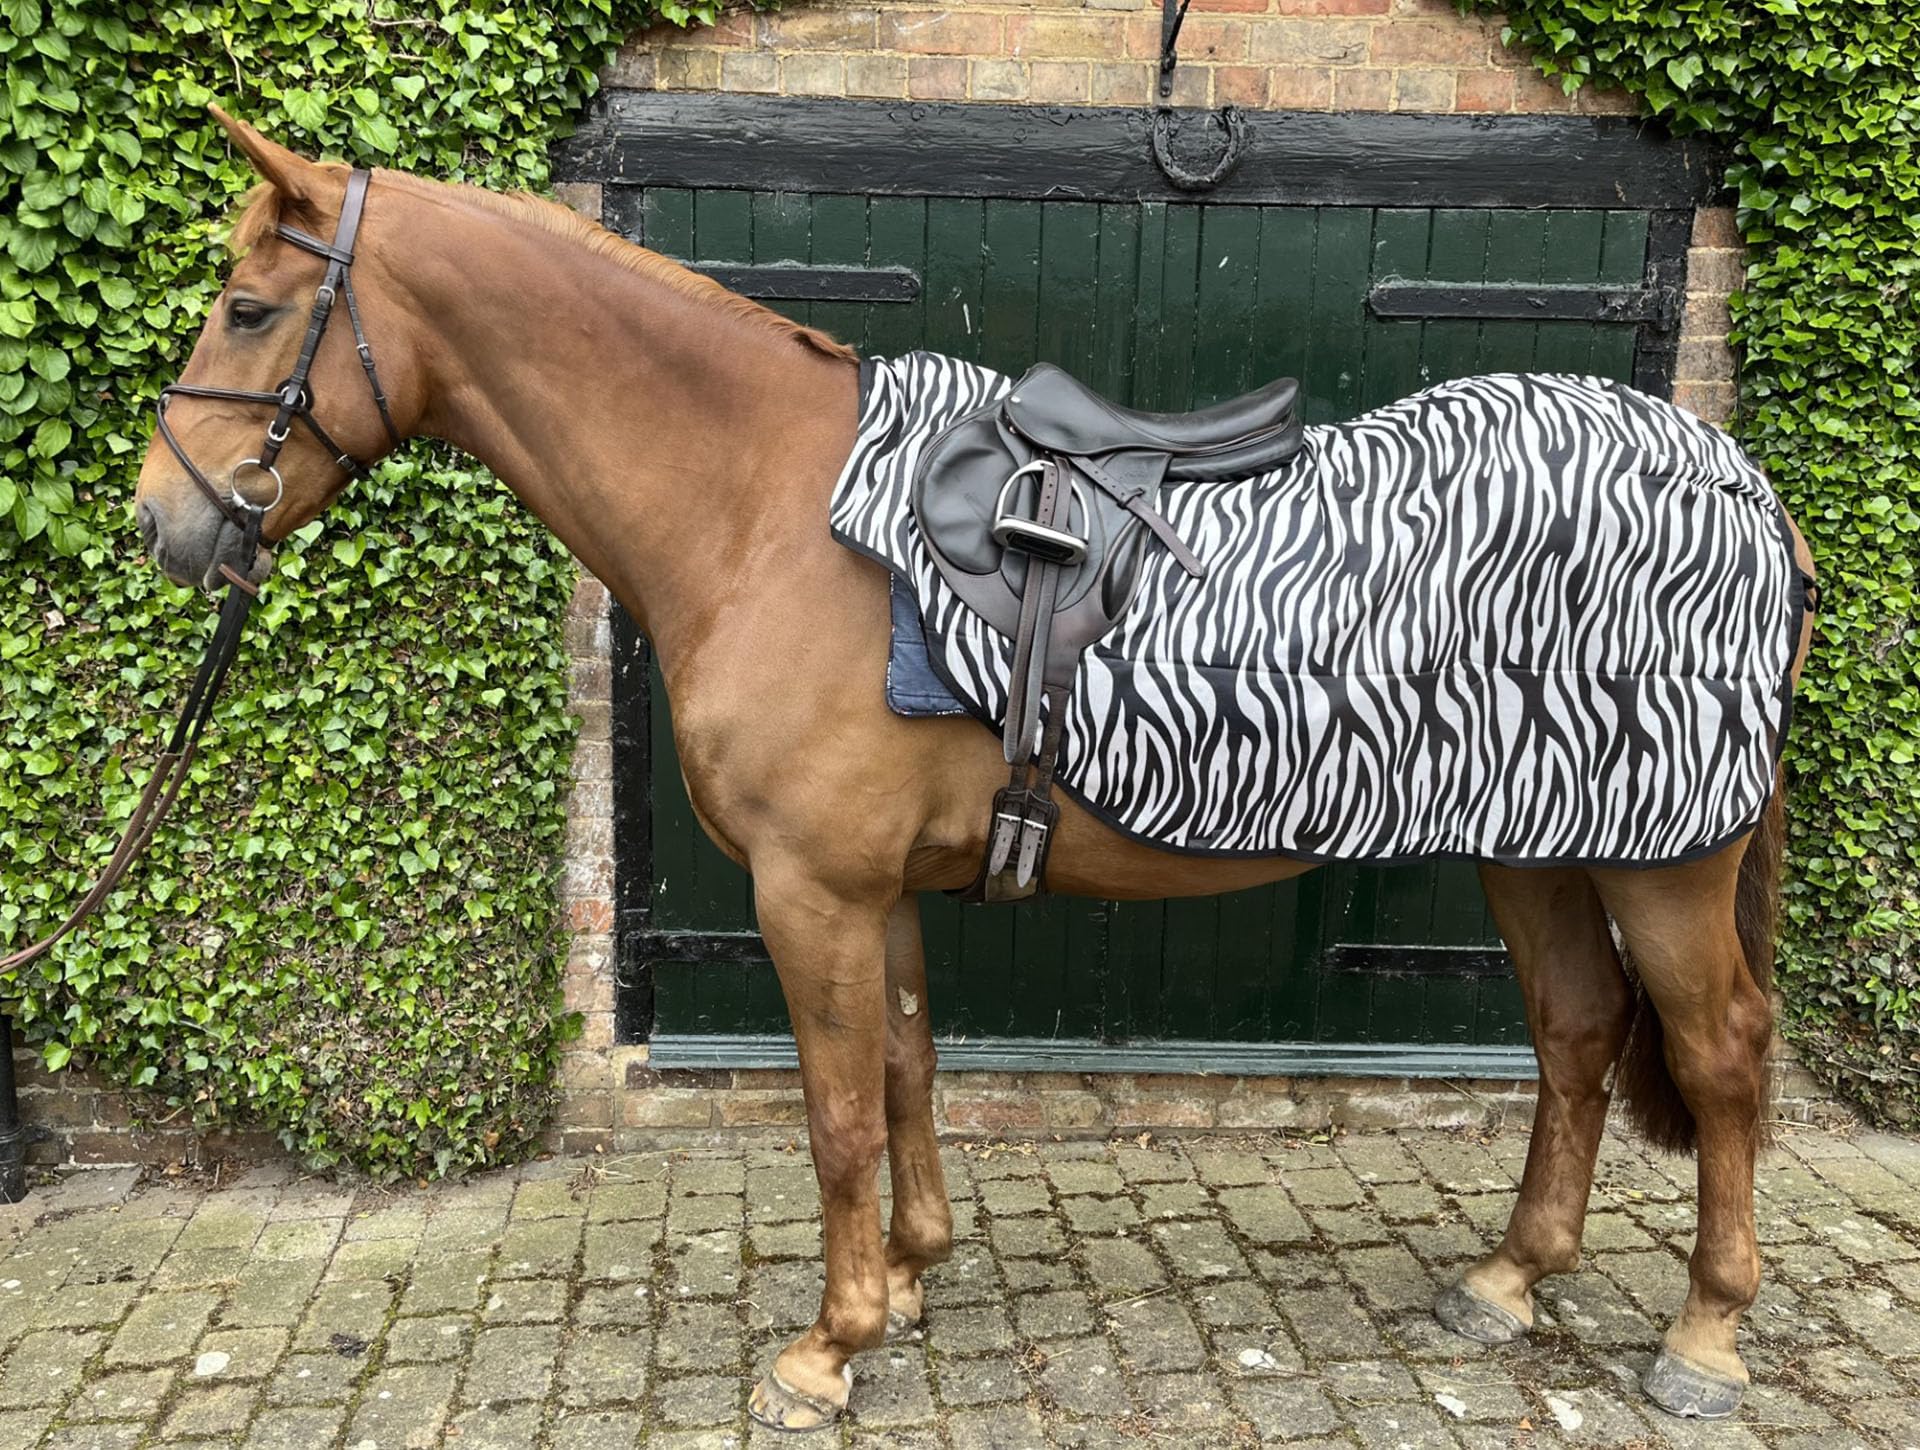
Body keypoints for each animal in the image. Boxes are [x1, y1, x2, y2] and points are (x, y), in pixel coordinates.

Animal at [130, 110, 1816, 1428]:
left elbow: (833, 1114)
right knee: (1580, 1026)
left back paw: (1706, 1336)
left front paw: (825, 1349)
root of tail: (1746, 488)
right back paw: (1509, 1278)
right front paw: (908, 1282)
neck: (767, 510)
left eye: (250, 309)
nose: (165, 520)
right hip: (1543, 843)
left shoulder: (811, 890)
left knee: (1722, 1052)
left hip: (1668, 863)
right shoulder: (871, 889)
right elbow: (906, 1071)